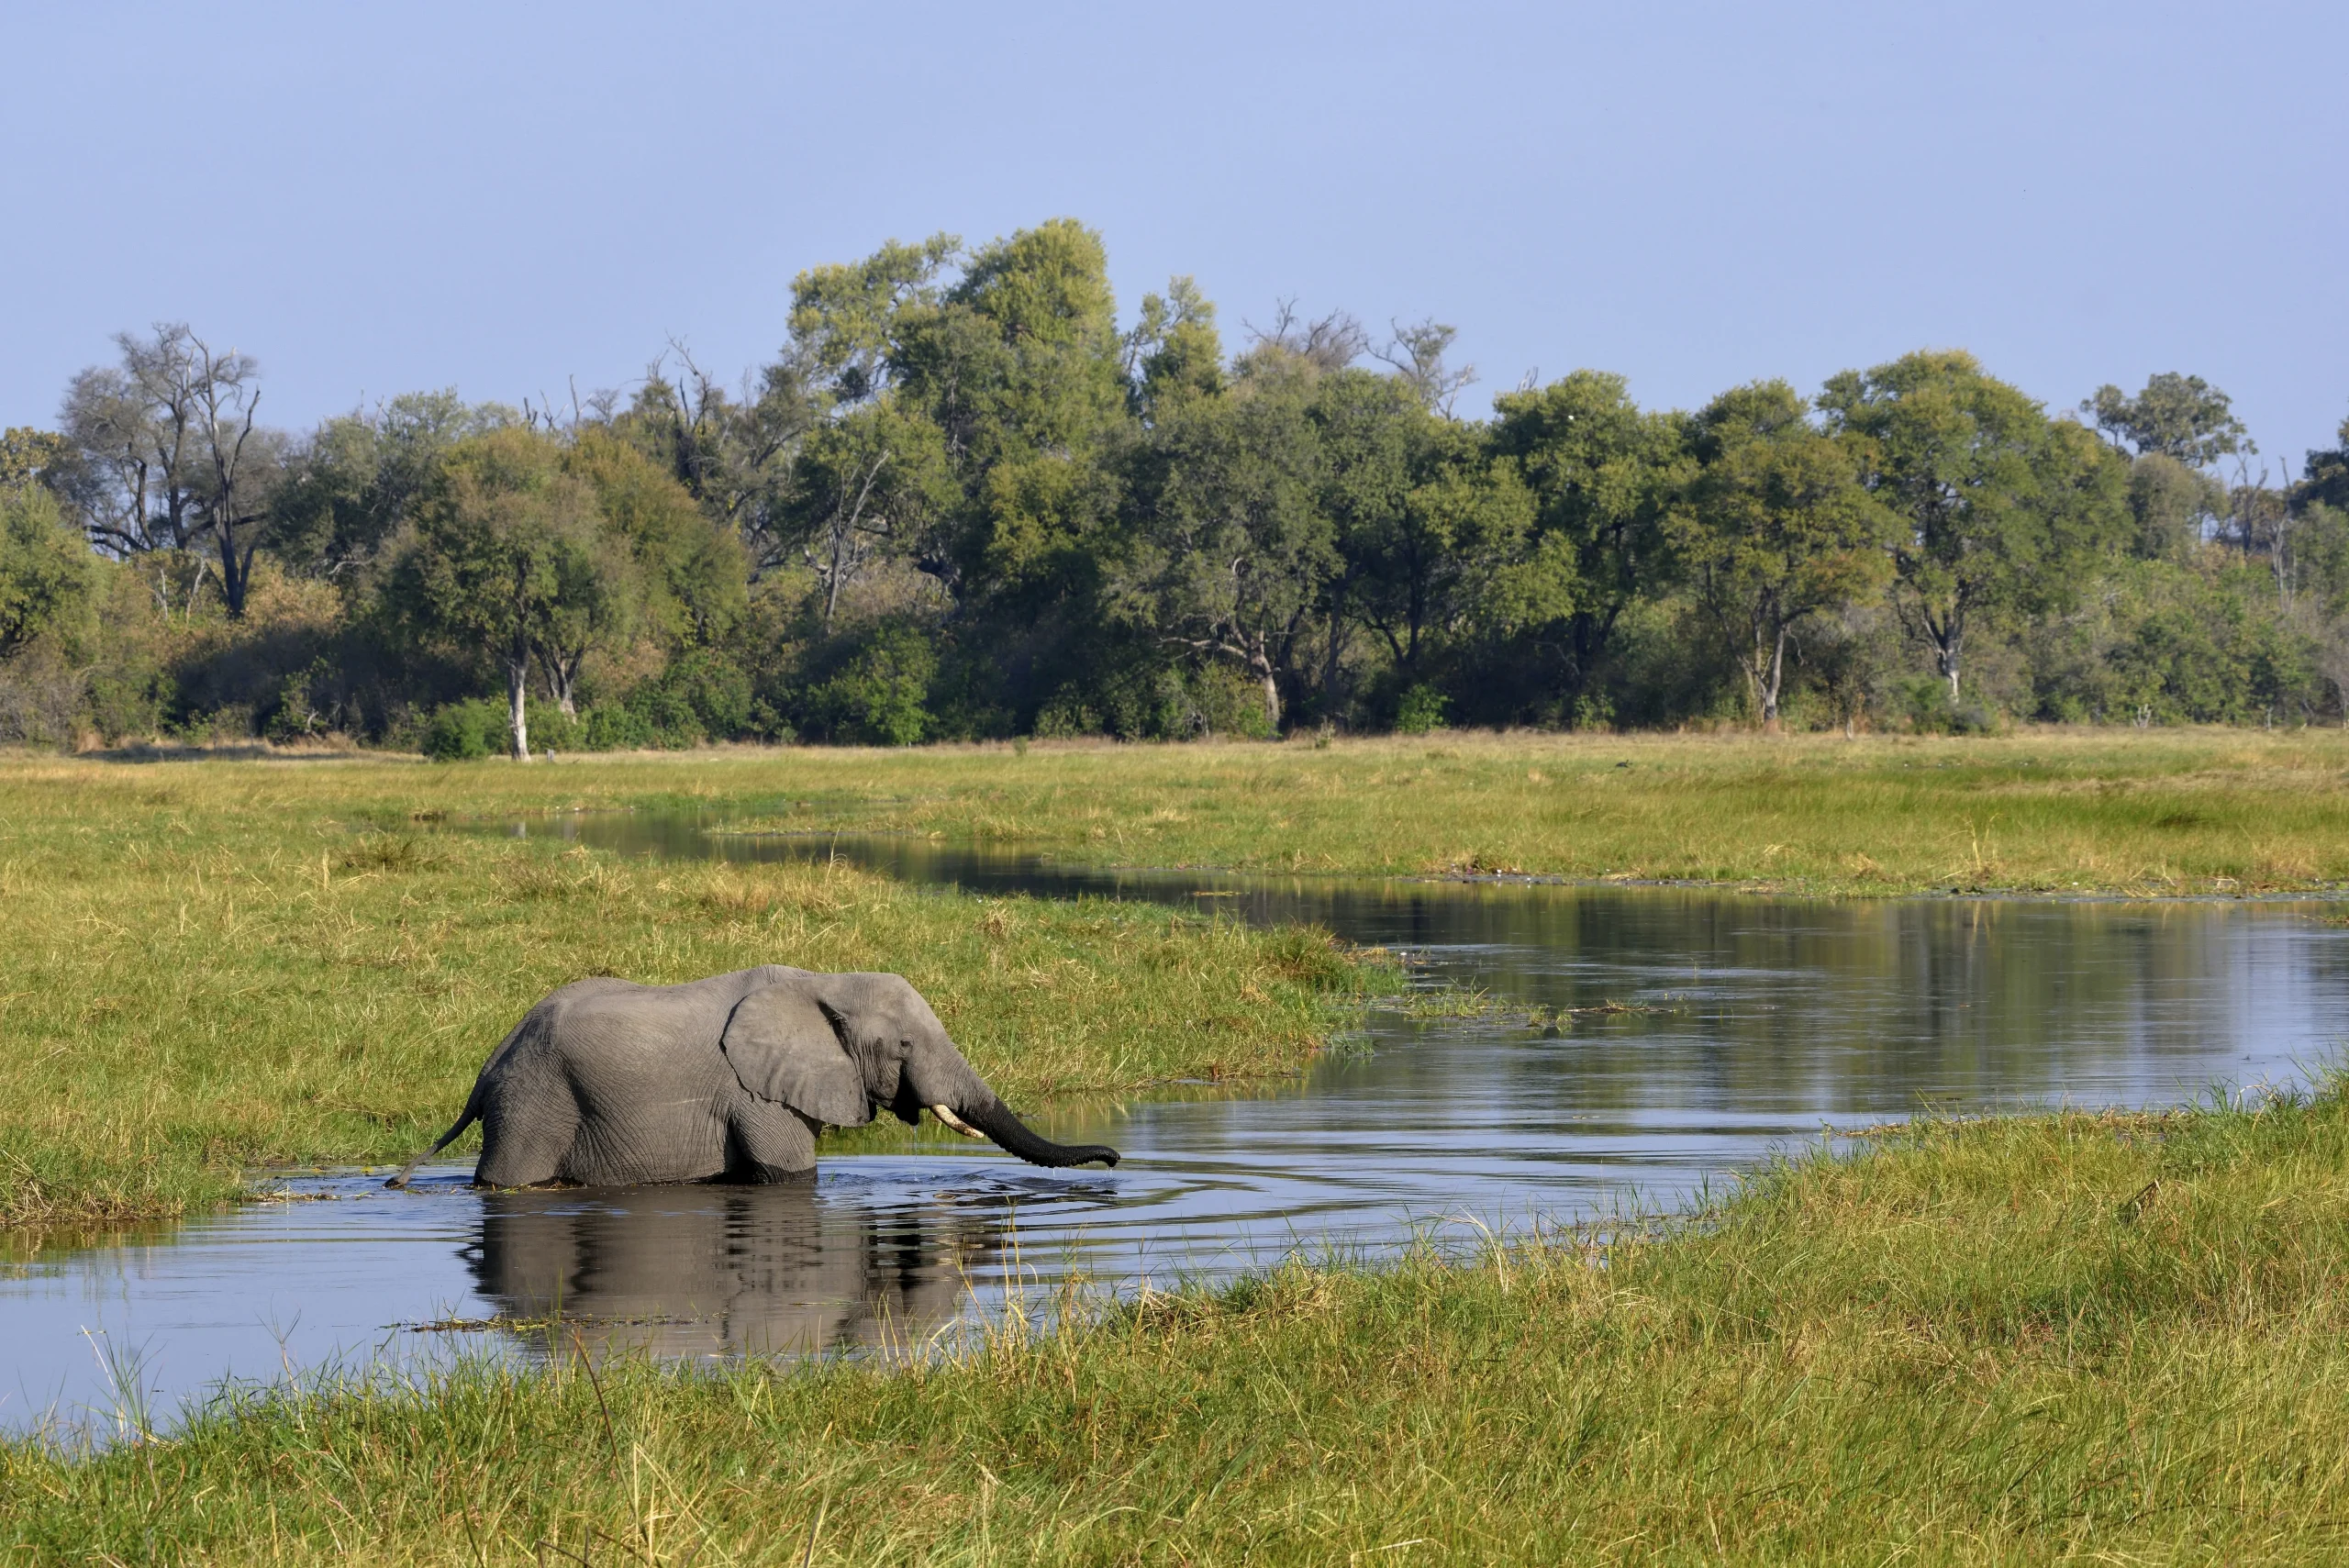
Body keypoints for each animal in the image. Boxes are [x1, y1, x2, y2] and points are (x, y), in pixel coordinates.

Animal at [387, 965, 1119, 1189]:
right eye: (906, 1044)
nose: (1115, 1160)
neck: (824, 982)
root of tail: (488, 1067)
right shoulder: (757, 1095)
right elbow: (789, 1173)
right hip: (534, 1102)